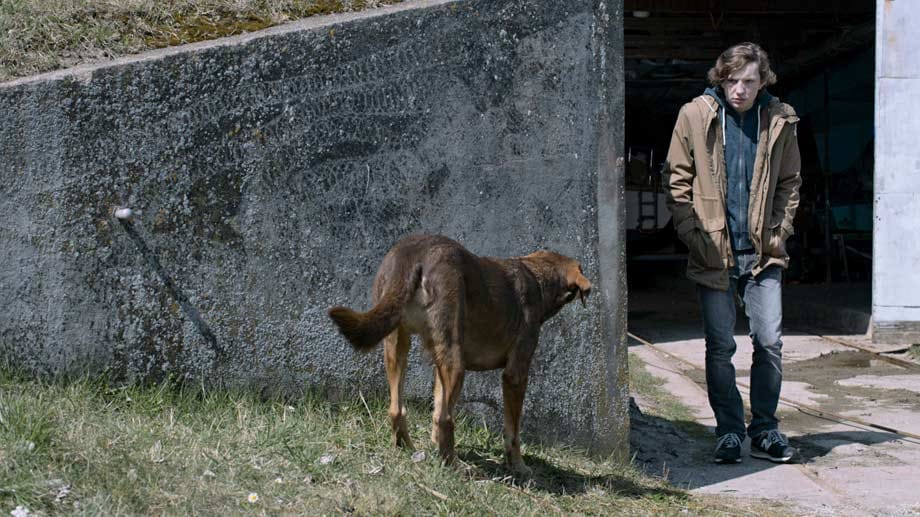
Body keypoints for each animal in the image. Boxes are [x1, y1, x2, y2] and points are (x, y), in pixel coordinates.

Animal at [328, 234, 592, 472]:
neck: (537, 276)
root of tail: (414, 253)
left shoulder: (438, 363)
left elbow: (437, 405)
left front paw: (436, 444)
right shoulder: (515, 375)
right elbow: (512, 431)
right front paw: (519, 466)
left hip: (397, 344)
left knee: (397, 409)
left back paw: (407, 449)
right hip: (456, 361)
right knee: (446, 419)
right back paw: (455, 466)